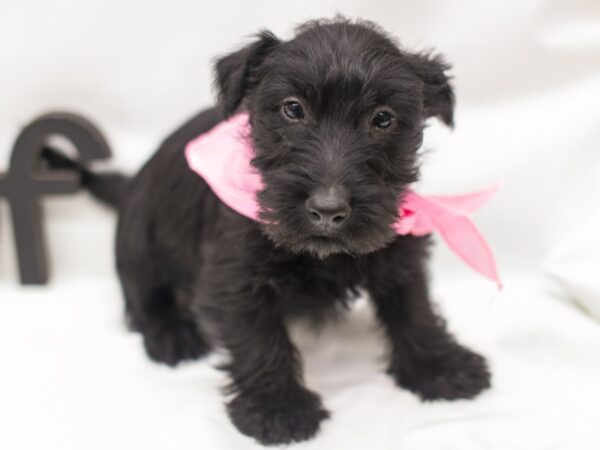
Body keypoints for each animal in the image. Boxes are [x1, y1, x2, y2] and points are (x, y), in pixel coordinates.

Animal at [50, 18, 492, 446]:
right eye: (293, 109)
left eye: (383, 119)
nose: (328, 210)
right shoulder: (236, 277)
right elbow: (259, 340)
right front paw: (277, 408)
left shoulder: (398, 248)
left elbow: (414, 307)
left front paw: (441, 365)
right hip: (140, 244)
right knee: (144, 296)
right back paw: (172, 335)